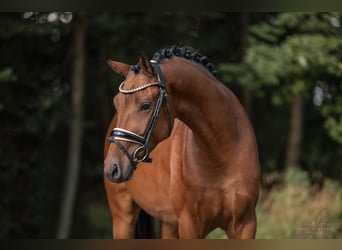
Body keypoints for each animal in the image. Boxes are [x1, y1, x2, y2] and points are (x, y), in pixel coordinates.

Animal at [103, 45, 260, 238]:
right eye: (116, 103)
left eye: (145, 105)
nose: (112, 167)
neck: (222, 151)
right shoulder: (189, 225)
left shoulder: (246, 224)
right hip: (123, 218)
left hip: (169, 223)